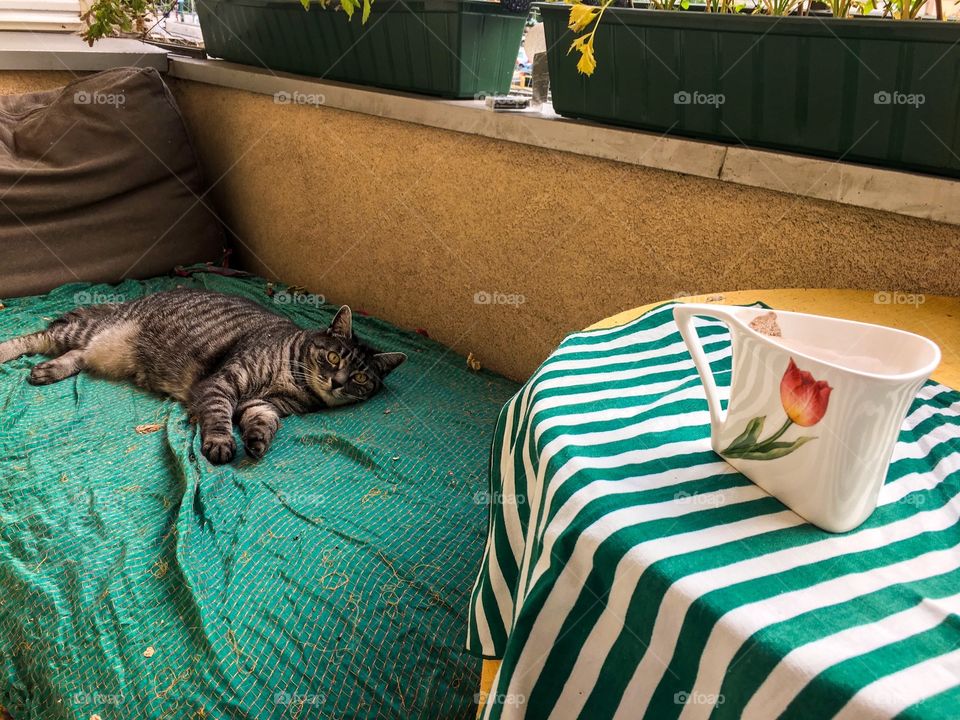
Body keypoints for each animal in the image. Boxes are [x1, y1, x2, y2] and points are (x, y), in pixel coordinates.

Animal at [0, 290, 404, 464]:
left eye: (361, 379)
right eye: (333, 356)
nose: (338, 382)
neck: (296, 385)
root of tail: (129, 301)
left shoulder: (264, 406)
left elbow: (264, 423)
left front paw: (257, 442)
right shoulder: (223, 384)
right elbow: (219, 416)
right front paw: (222, 443)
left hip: (97, 349)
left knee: (77, 357)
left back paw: (48, 370)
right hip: (85, 330)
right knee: (40, 336)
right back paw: (8, 351)